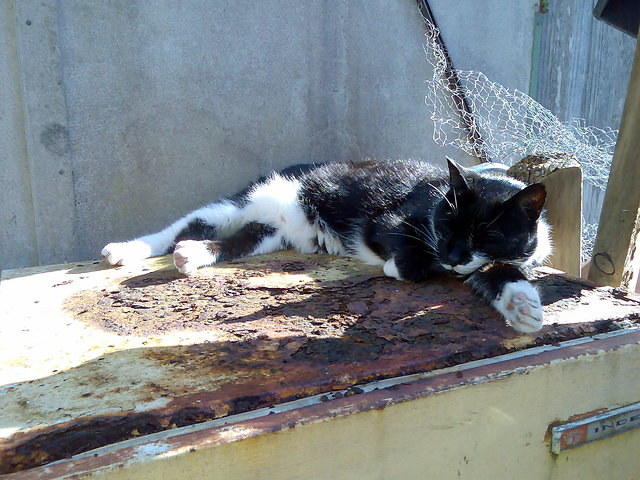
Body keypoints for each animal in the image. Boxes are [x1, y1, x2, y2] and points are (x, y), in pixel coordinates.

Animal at [101, 159, 552, 332]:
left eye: (487, 235)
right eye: (446, 224)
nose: (453, 255)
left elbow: (498, 269)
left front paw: (522, 304)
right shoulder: (389, 221)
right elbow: (409, 260)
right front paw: (402, 265)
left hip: (270, 233)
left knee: (235, 240)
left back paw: (193, 254)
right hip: (241, 203)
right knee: (183, 226)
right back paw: (126, 249)